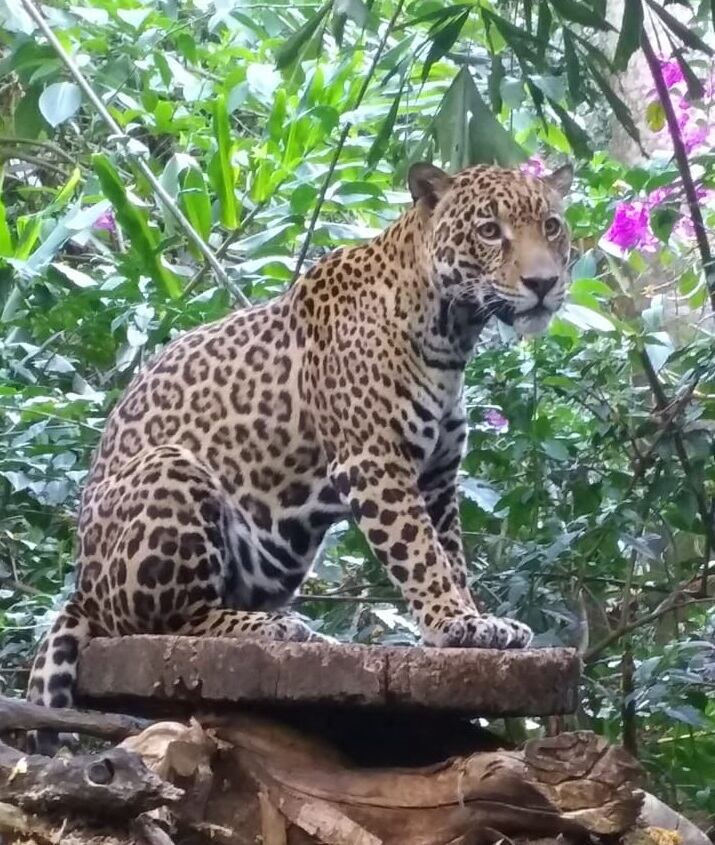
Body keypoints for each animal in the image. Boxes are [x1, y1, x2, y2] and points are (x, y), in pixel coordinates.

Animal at [27, 161, 573, 750]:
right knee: (162, 623)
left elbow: (450, 557)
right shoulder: (373, 462)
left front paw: (474, 621)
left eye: (552, 226)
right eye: (490, 231)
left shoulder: (439, 479)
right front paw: (455, 624)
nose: (543, 284)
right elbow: (421, 553)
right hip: (172, 468)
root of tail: (81, 586)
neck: (452, 332)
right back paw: (274, 627)